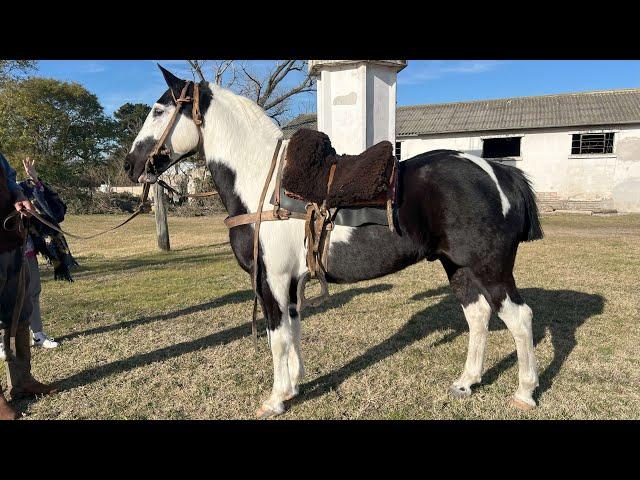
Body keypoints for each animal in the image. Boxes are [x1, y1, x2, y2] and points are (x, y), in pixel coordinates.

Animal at [124, 65, 544, 418]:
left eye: (159, 110)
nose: (130, 166)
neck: (264, 184)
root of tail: (498, 172)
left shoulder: (271, 280)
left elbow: (277, 337)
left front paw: (276, 399)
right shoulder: (292, 281)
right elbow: (293, 330)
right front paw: (294, 386)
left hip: (490, 269)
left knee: (520, 319)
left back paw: (525, 392)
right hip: (458, 267)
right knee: (478, 316)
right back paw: (466, 383)